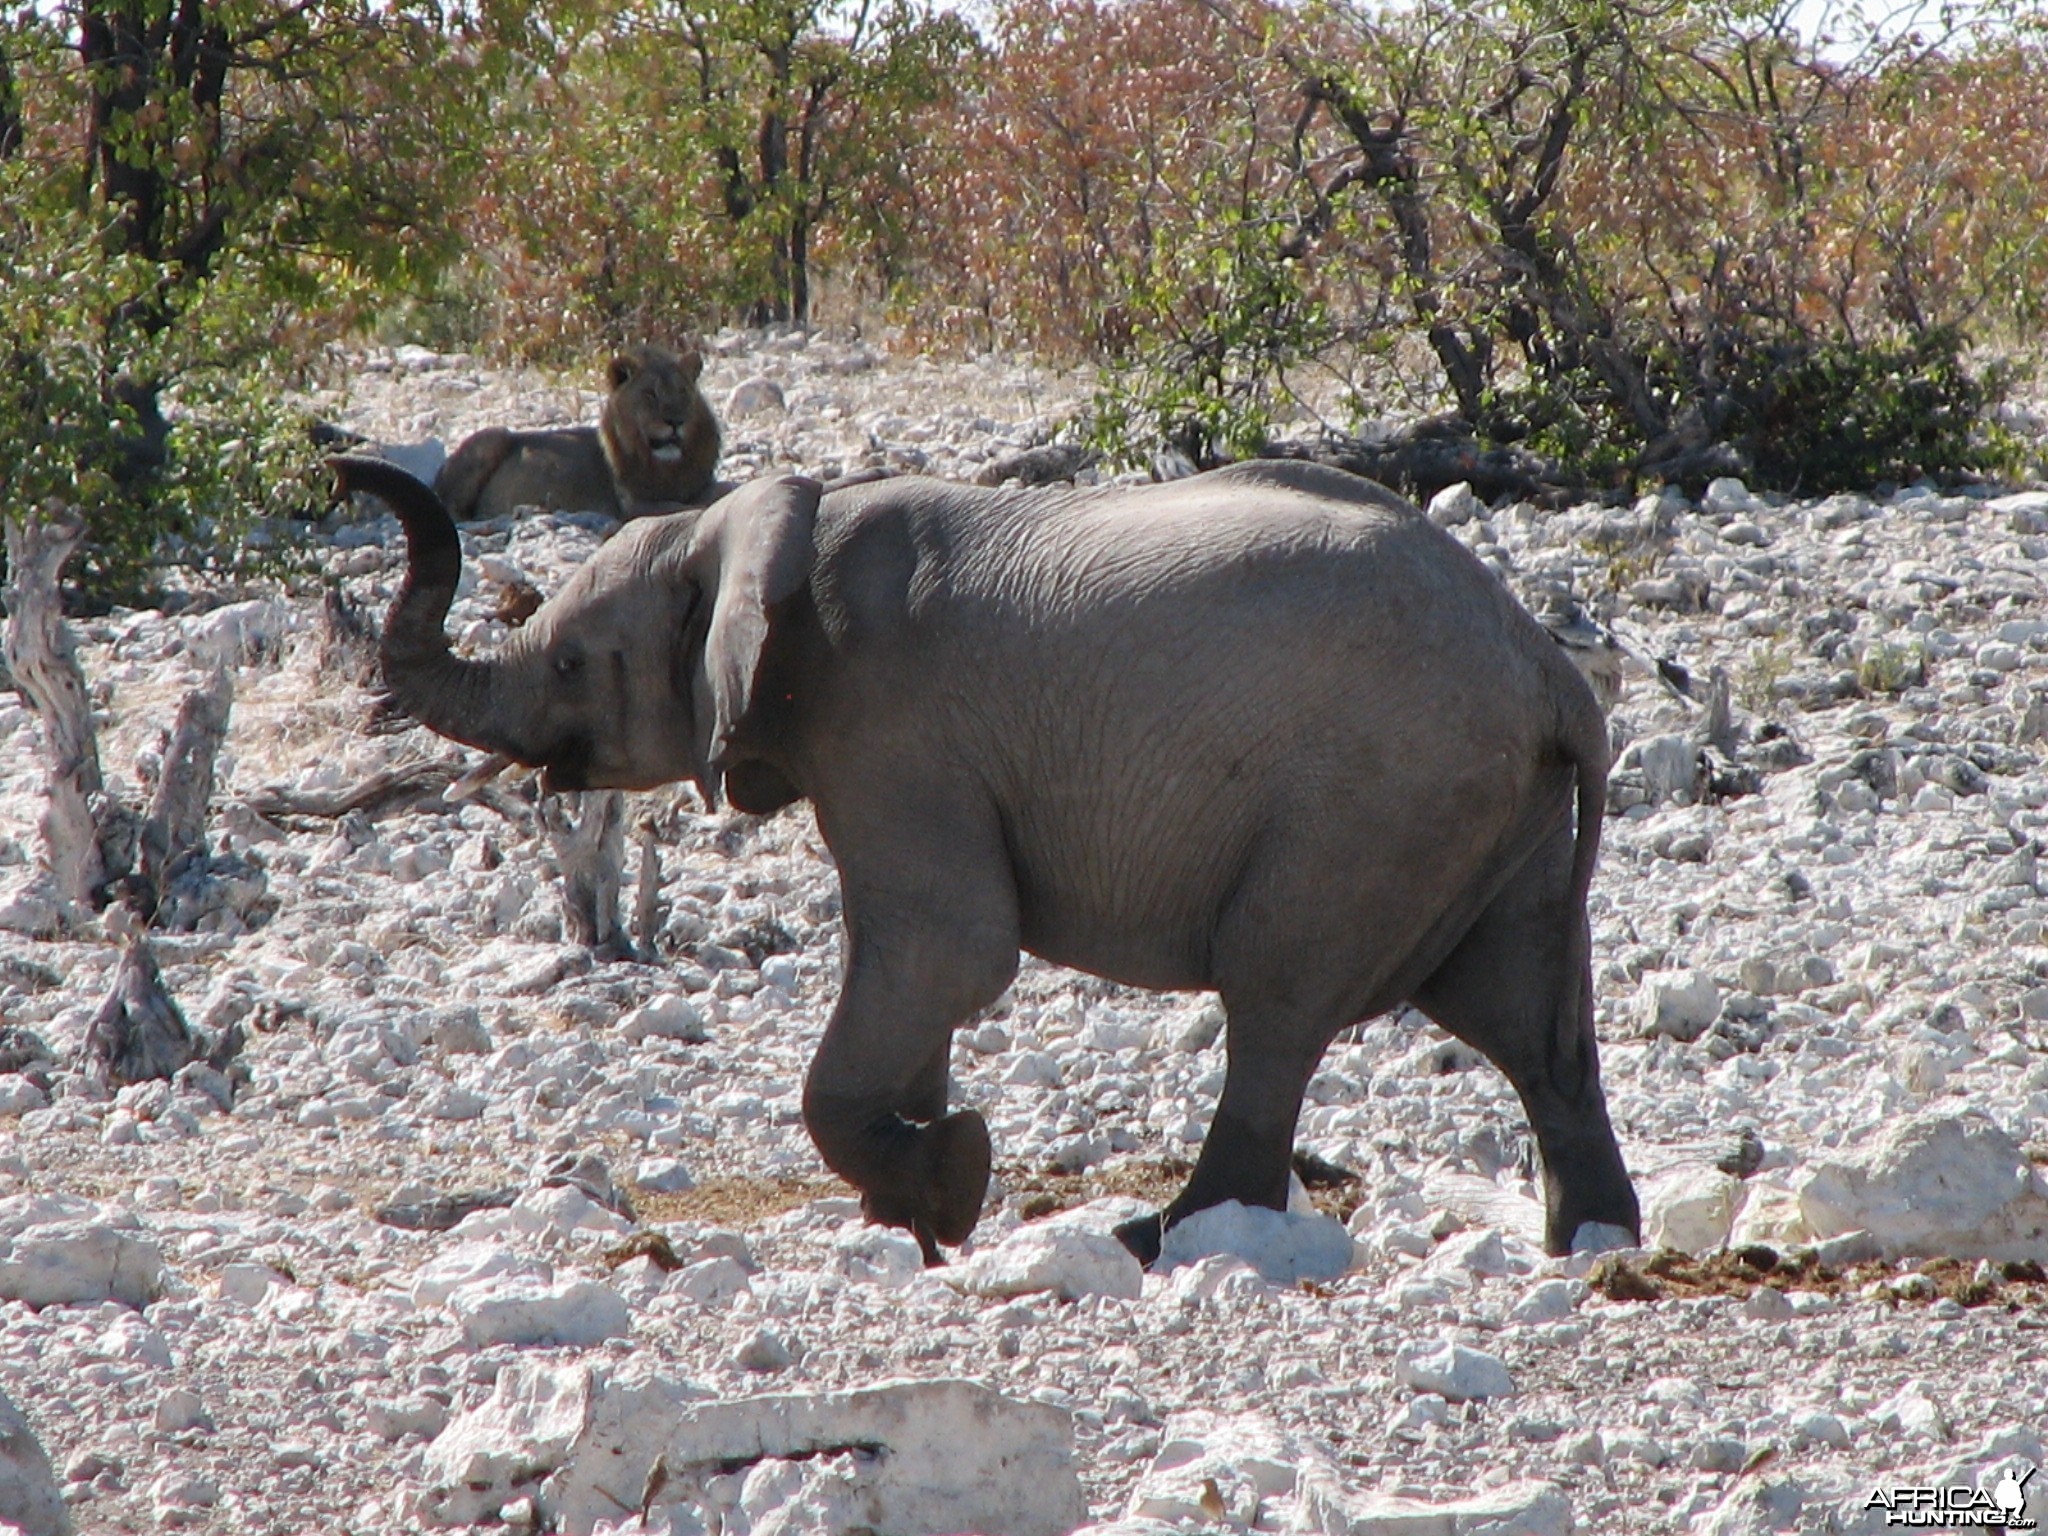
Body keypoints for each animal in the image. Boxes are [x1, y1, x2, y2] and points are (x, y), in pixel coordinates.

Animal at [327, 454, 1638, 1261]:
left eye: (565, 664)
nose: (338, 469)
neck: (762, 522)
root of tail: (1550, 667)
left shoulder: (893, 730)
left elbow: (949, 950)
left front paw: (949, 1183)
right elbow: (914, 966)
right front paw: (906, 1195)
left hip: (1372, 801)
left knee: (1275, 996)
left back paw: (1160, 1239)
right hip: (1485, 813)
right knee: (1523, 1018)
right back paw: (1589, 1242)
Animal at [430, 344, 720, 524]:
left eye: (683, 391)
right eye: (650, 394)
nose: (676, 421)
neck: (668, 466)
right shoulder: (635, 504)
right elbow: (689, 508)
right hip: (494, 435)